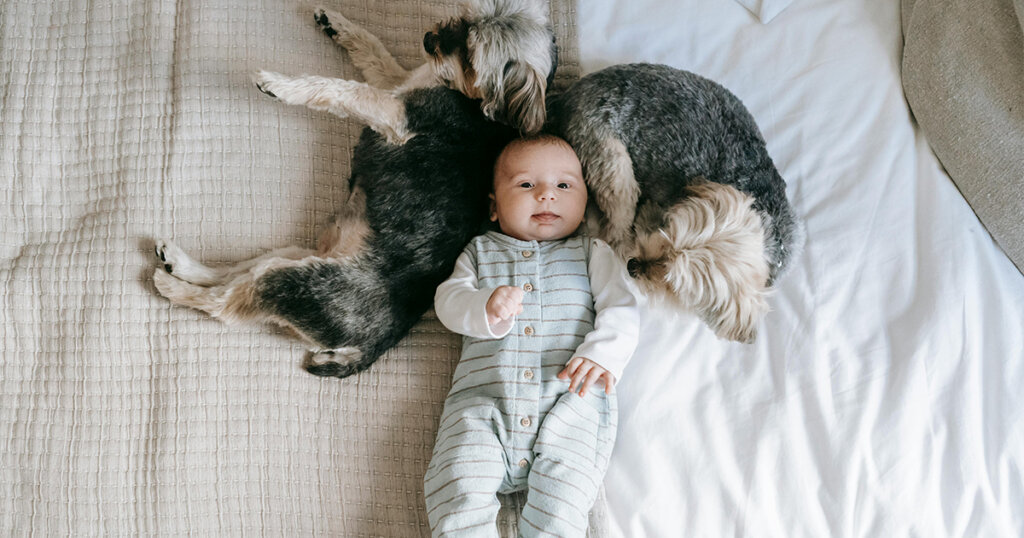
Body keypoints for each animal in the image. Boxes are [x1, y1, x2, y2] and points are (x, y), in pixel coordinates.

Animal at [149, 2, 561, 375]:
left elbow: (342, 90)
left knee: (224, 303)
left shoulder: (393, 112)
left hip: (297, 284)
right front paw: (336, 23)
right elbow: (373, 49)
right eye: (464, 17)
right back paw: (179, 263)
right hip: (295, 258)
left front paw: (281, 85)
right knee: (234, 273)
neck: (475, 101)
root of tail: (368, 348)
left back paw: (171, 286)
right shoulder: (396, 81)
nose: (429, 40)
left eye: (471, 54)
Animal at [548, 63, 802, 340]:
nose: (632, 266)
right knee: (615, 229)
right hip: (614, 166)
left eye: (673, 284)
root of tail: (570, 94)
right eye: (665, 233)